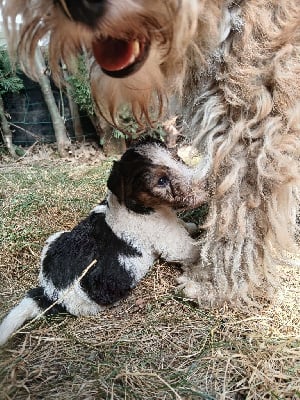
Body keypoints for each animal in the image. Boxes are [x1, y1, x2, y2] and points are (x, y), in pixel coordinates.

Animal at [0, 141, 206, 346]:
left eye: (177, 158)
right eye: (161, 181)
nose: (205, 185)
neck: (140, 208)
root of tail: (48, 293)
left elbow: (182, 224)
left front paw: (191, 226)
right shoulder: (171, 242)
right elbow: (193, 250)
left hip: (54, 239)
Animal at [1, 0, 298, 306]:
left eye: (178, 158)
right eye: (161, 181)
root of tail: (50, 288)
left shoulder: (253, 124)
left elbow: (238, 216)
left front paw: (213, 283)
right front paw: (210, 284)